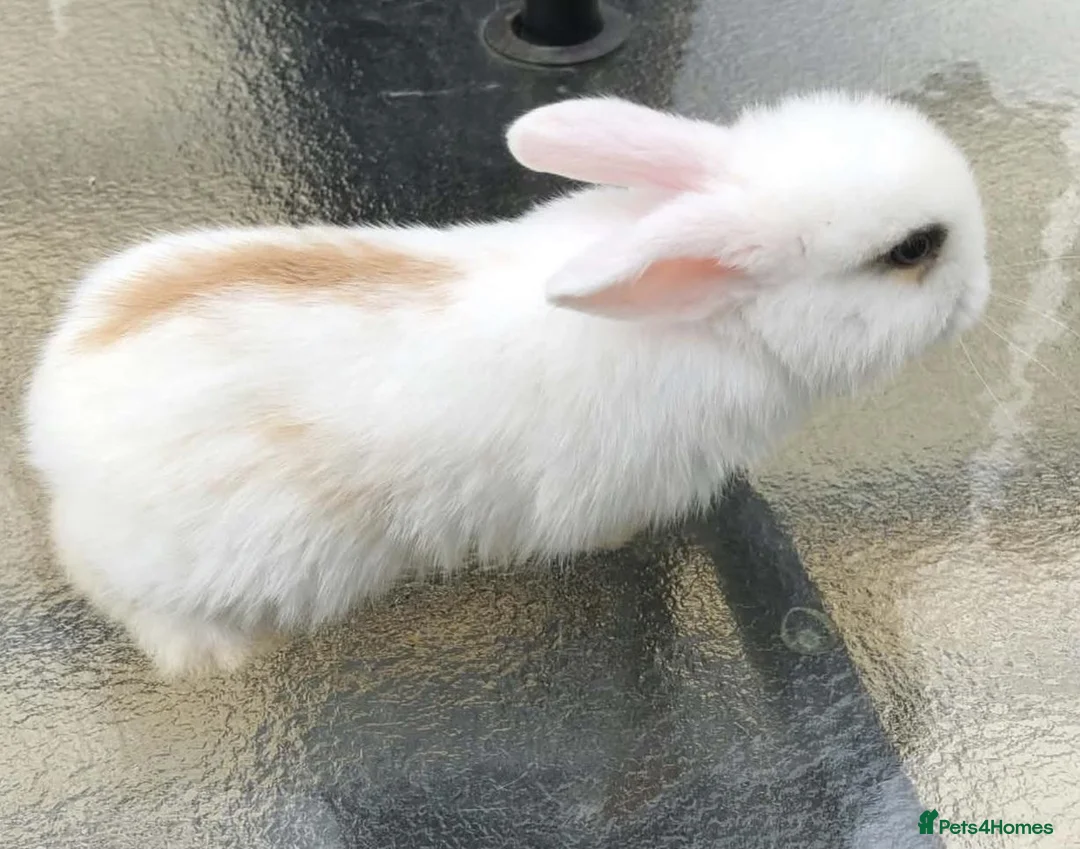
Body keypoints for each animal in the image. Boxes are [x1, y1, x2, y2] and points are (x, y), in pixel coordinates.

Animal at [24, 91, 989, 677]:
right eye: (912, 250)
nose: (982, 292)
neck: (720, 321)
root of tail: (52, 418)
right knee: (108, 585)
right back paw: (217, 653)